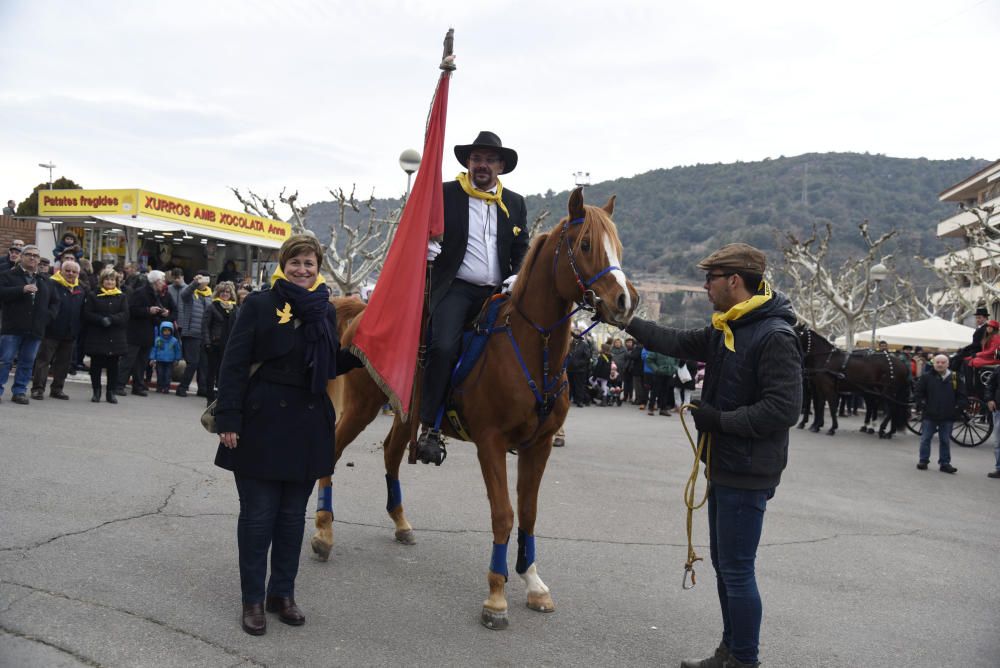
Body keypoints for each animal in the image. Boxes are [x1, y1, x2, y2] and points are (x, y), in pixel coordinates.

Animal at [316, 189, 636, 632]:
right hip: (364, 405)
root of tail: (360, 310)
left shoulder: (539, 446)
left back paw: (400, 522)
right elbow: (503, 514)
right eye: (586, 244)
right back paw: (323, 532)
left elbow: (529, 512)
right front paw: (497, 595)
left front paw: (533, 581)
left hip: (405, 410)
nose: (625, 301)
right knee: (332, 450)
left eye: (618, 246)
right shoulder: (491, 443)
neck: (532, 347)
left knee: (392, 453)